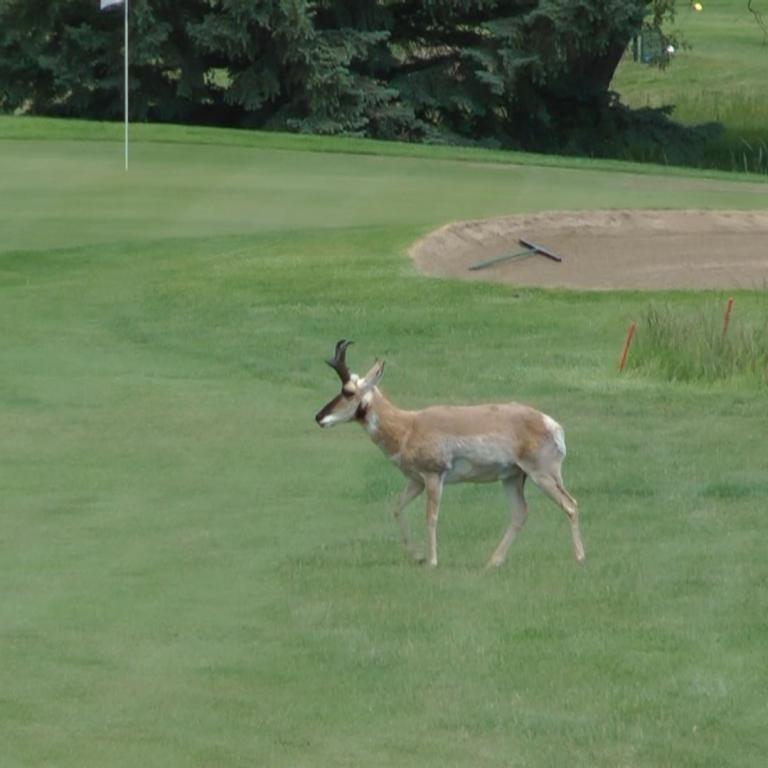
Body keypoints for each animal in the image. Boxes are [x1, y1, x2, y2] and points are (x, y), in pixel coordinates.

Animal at [314, 340, 585, 568]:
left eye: (348, 391)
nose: (318, 417)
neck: (408, 426)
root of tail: (550, 423)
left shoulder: (434, 477)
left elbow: (431, 516)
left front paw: (433, 561)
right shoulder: (416, 481)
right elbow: (397, 508)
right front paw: (417, 556)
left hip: (542, 475)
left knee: (570, 505)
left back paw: (580, 558)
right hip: (513, 478)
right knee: (520, 513)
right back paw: (492, 563)